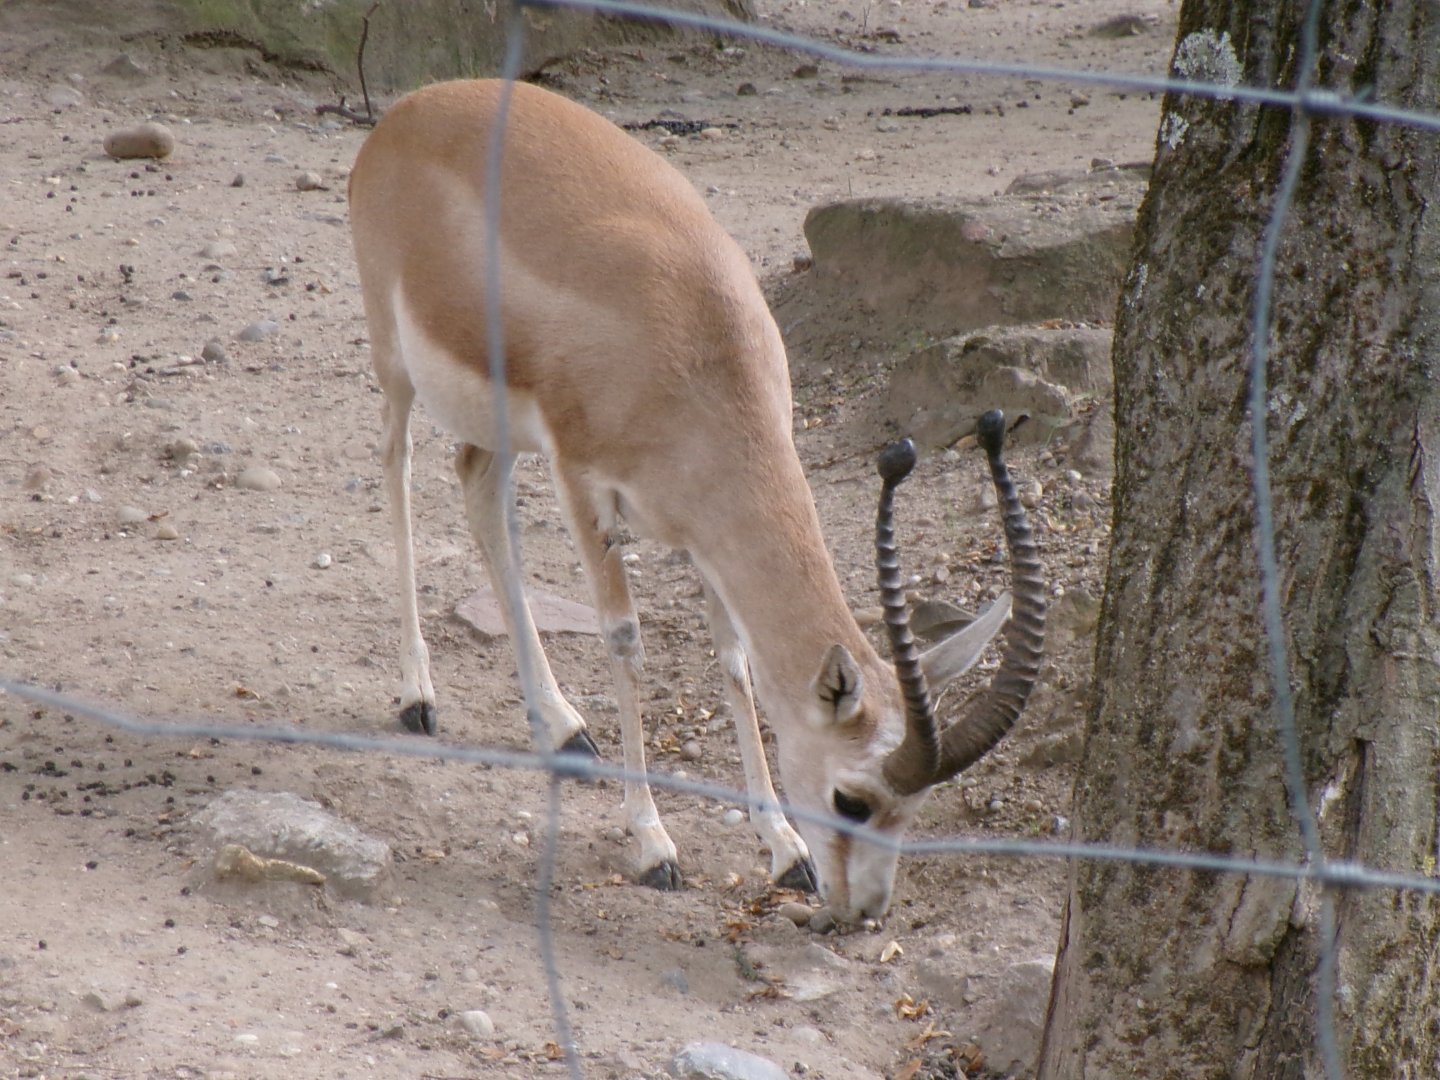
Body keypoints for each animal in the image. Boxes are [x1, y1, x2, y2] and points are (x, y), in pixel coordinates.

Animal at [347, 79, 1045, 923]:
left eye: (913, 808)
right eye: (851, 800)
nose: (865, 911)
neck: (691, 342)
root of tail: (409, 110)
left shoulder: (705, 531)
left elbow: (736, 662)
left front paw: (785, 850)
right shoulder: (583, 483)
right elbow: (625, 640)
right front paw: (655, 847)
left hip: (496, 425)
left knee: (477, 486)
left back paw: (563, 731)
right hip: (395, 360)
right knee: (396, 464)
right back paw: (418, 697)